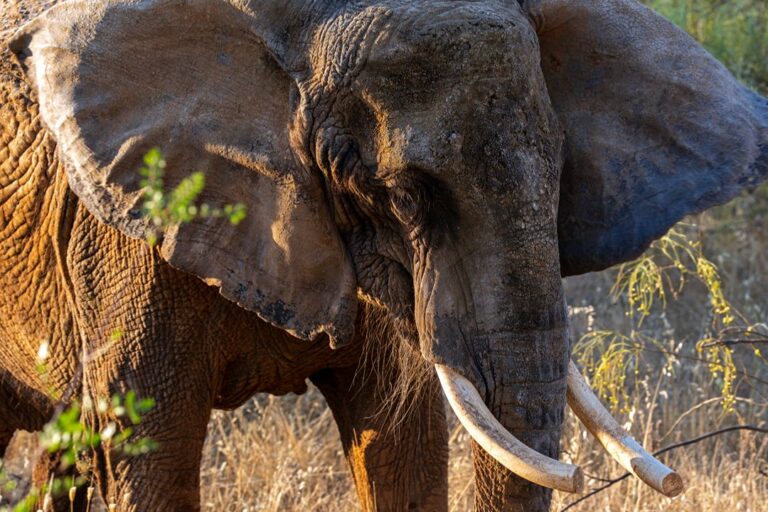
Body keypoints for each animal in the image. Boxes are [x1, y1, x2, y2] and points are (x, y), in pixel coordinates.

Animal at [1, 0, 766, 511]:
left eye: (564, 173)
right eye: (402, 195)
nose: (673, 480)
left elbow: (403, 441)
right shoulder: (128, 221)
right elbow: (147, 440)